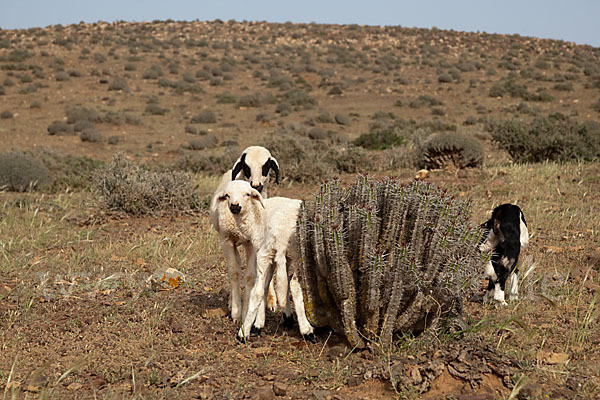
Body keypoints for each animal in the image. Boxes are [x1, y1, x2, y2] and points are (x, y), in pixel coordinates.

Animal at [213, 180, 316, 342]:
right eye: (227, 195)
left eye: (247, 194)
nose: (235, 206)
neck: (255, 217)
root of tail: (281, 232)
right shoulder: (274, 256)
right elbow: (274, 283)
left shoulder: (266, 252)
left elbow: (270, 284)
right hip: (290, 254)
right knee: (288, 284)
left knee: (272, 286)